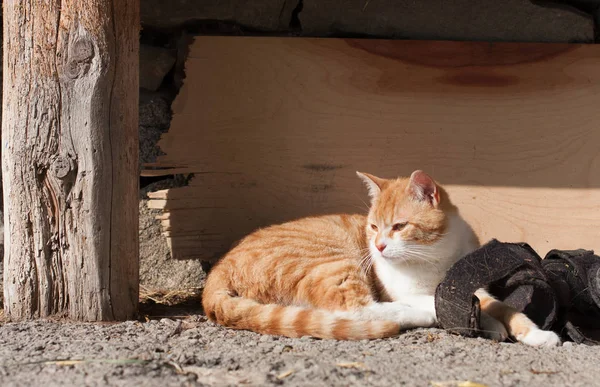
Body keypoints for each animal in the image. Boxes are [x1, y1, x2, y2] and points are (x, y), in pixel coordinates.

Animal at [204, 171, 560, 348]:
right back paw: (421, 316)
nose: (377, 247)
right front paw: (484, 322)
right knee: (356, 311)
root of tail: (219, 269)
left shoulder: (479, 290)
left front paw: (534, 334)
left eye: (399, 226)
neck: (432, 257)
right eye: (373, 226)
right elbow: (444, 302)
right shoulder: (408, 291)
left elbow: (507, 310)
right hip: (333, 263)